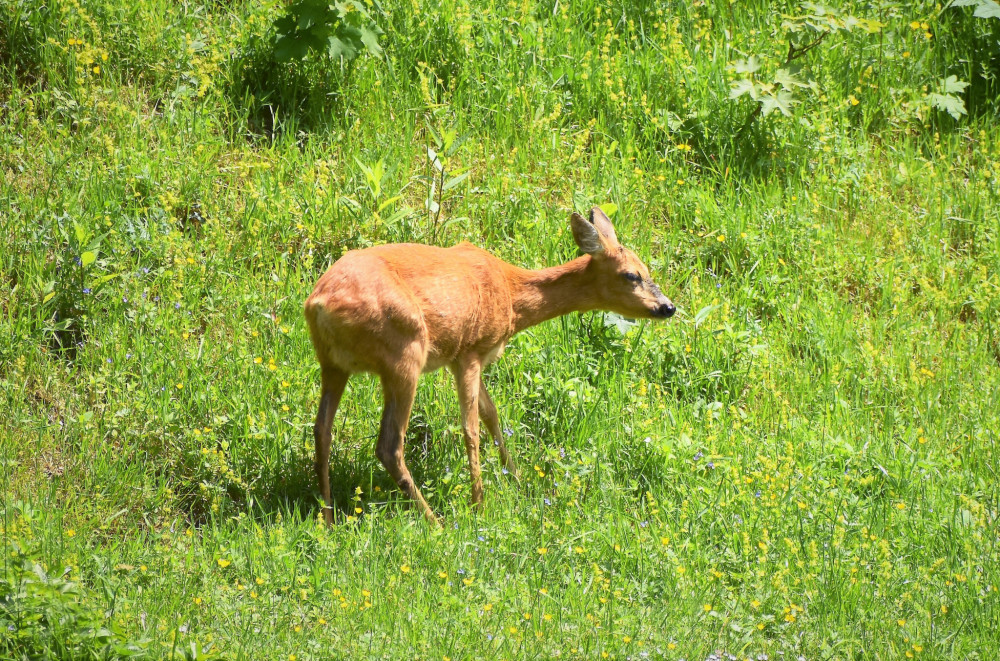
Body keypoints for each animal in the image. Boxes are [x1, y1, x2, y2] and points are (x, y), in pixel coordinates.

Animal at [304, 204, 676, 524]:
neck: (512, 296)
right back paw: (433, 521)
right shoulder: (468, 351)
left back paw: (328, 517)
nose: (668, 307)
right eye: (631, 275)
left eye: (646, 270)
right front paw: (479, 505)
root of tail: (319, 304)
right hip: (404, 353)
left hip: (333, 363)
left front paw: (517, 478)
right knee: (389, 444)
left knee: (322, 429)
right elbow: (471, 428)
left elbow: (491, 414)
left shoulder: (470, 357)